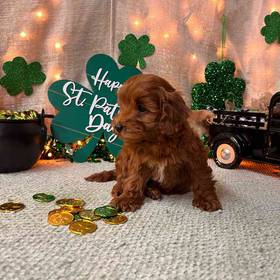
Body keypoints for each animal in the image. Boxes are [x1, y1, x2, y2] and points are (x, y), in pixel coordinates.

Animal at [85, 74, 221, 212]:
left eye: (141, 108)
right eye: (122, 106)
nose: (117, 126)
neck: (157, 140)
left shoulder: (194, 156)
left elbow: (201, 177)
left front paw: (206, 199)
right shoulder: (138, 160)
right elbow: (133, 179)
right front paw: (126, 199)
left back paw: (152, 190)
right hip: (123, 155)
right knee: (121, 177)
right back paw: (120, 189)